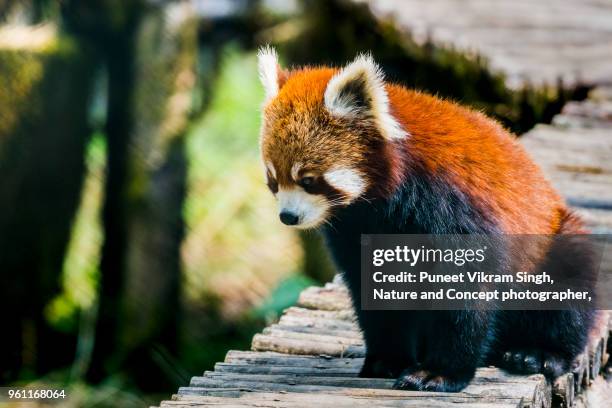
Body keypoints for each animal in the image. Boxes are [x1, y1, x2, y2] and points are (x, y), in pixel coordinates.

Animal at [258, 47, 596, 392]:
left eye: (308, 180)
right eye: (273, 180)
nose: (288, 216)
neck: (383, 202)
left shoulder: (452, 207)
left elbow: (464, 289)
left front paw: (439, 372)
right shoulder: (358, 228)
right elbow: (373, 288)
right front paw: (387, 360)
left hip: (552, 243)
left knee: (568, 287)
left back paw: (539, 354)